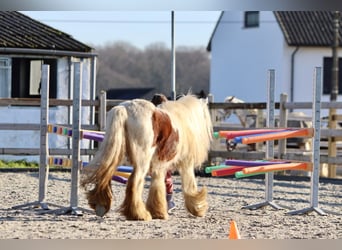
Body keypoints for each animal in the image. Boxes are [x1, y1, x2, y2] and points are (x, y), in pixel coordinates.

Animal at [81, 94, 212, 221]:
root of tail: (125, 108)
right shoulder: (186, 164)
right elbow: (189, 185)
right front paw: (197, 208)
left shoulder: (159, 166)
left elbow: (157, 185)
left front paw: (158, 212)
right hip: (141, 162)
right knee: (134, 182)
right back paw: (139, 214)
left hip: (115, 152)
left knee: (105, 174)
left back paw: (101, 206)